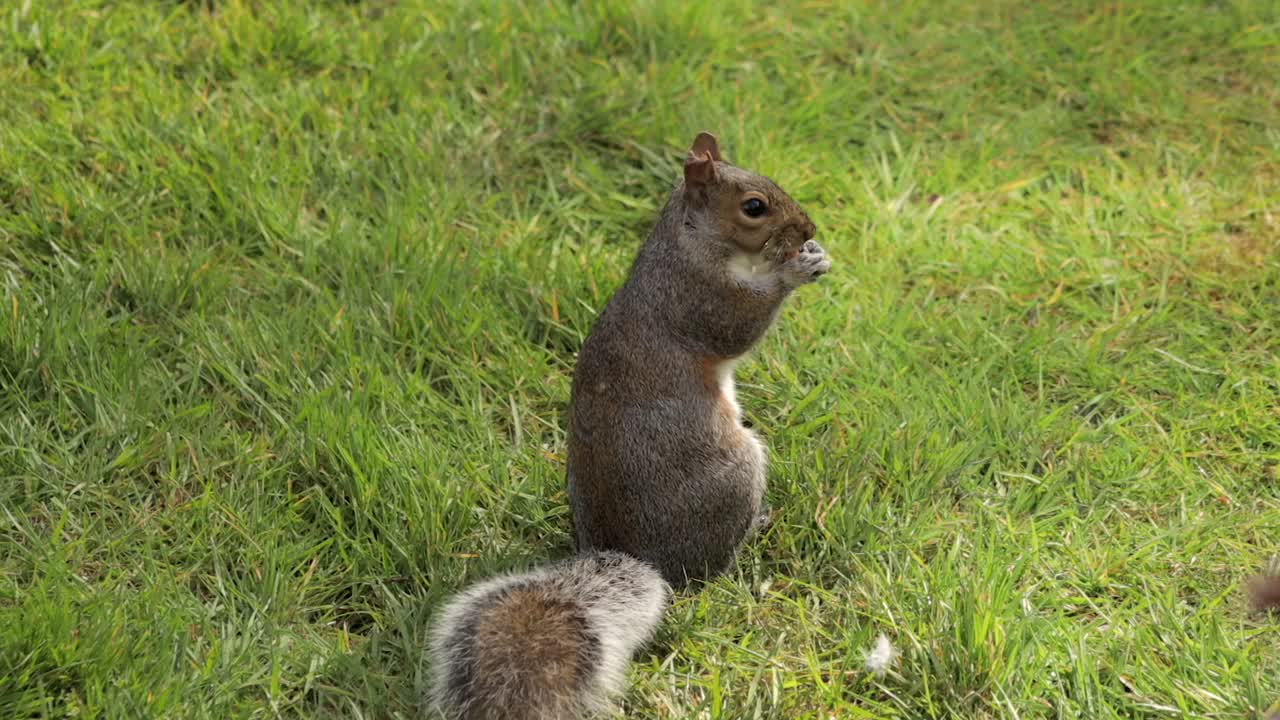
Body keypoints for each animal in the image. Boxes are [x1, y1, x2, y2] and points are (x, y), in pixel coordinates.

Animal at [567, 131, 831, 587]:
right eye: (754, 207)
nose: (808, 229)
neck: (692, 242)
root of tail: (641, 557)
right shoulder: (696, 295)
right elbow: (735, 328)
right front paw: (793, 272)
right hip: (733, 475)